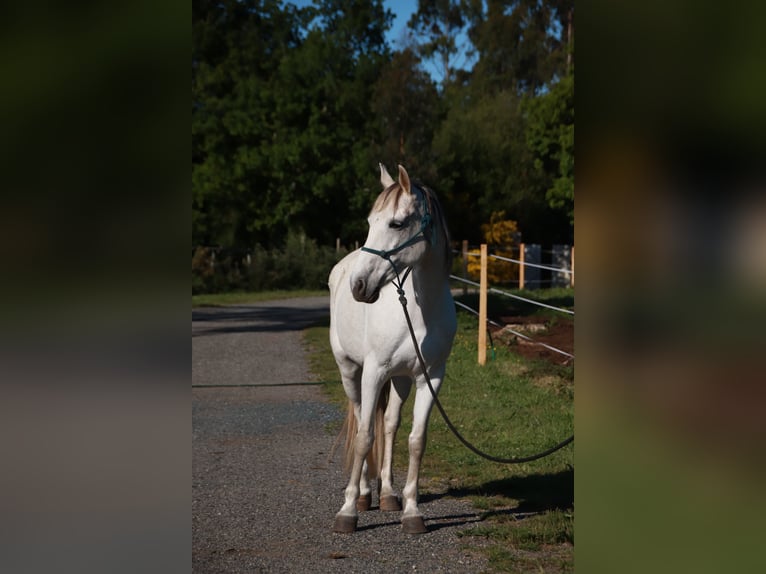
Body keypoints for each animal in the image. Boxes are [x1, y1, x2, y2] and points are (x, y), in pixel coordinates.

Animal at [328, 163, 457, 534]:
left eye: (396, 224)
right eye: (371, 222)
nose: (359, 286)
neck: (419, 310)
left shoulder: (431, 377)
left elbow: (415, 439)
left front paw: (412, 511)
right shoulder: (372, 372)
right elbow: (364, 437)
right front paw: (348, 512)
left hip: (399, 379)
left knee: (389, 424)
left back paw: (386, 494)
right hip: (350, 371)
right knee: (362, 420)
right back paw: (362, 494)